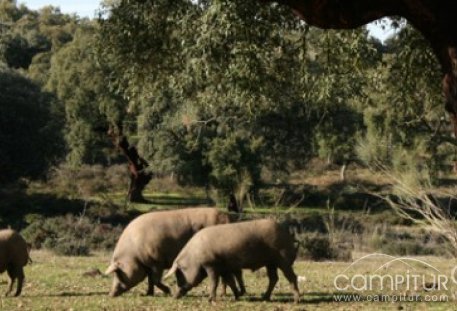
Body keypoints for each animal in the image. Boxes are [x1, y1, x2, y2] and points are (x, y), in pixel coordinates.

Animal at [164, 218, 300, 304]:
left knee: (292, 277)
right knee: (273, 278)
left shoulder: (211, 265)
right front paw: (237, 296)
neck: (195, 257)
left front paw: (210, 300)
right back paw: (264, 298)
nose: (174, 297)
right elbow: (230, 281)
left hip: (283, 259)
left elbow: (215, 282)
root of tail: (287, 233)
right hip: (270, 263)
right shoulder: (224, 267)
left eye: (180, 275)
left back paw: (296, 301)